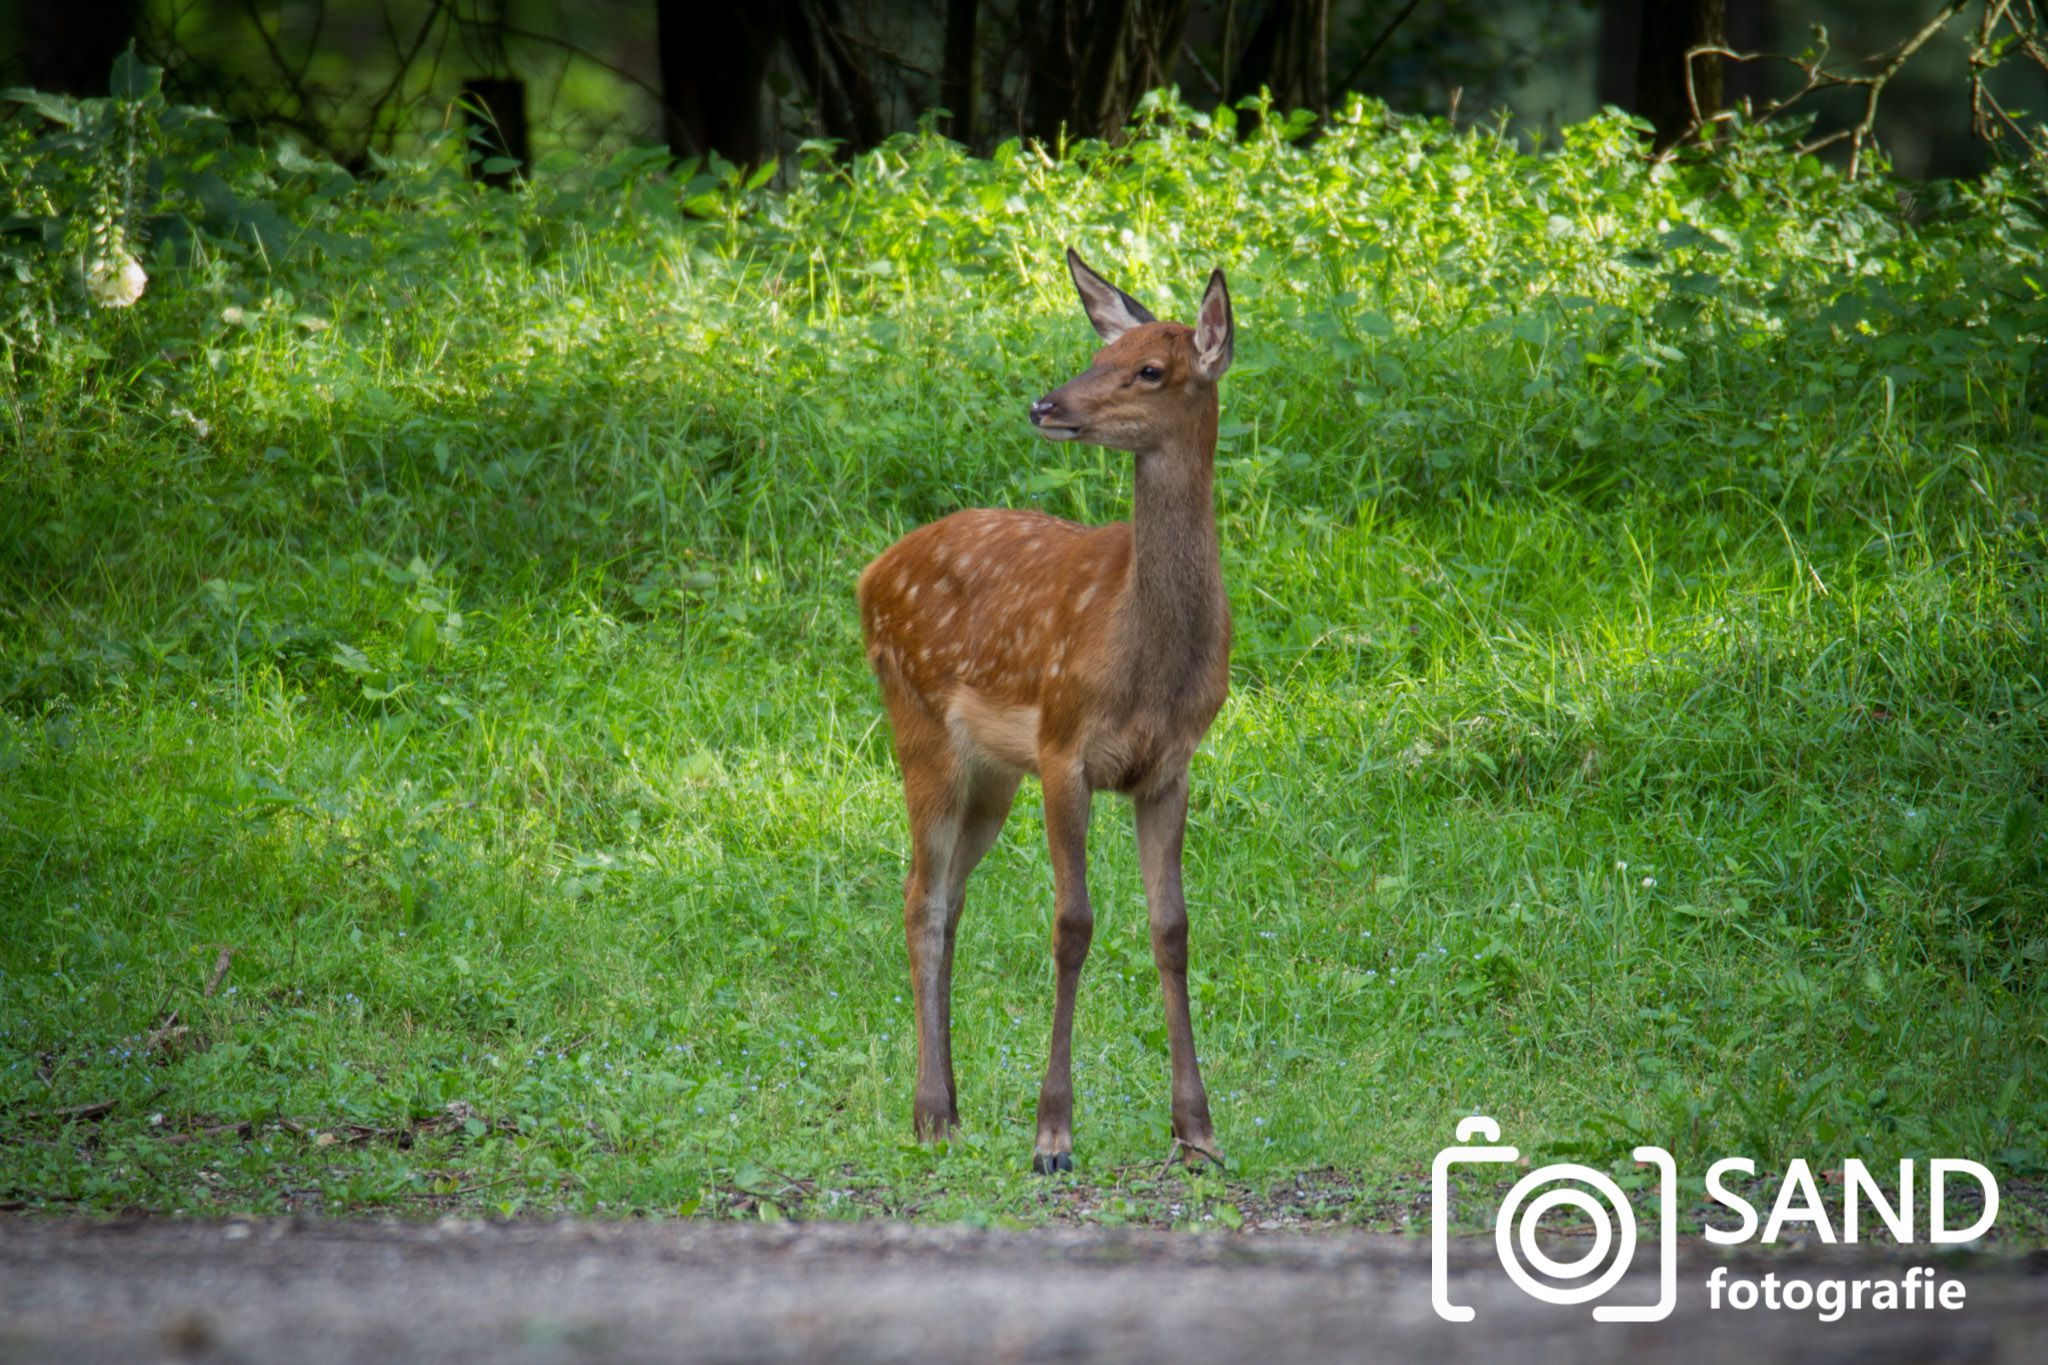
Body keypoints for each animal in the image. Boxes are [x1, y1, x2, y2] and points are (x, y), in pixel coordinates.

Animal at [860, 245, 1236, 1178]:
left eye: (1149, 368)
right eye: (1101, 351)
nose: (1044, 404)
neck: (1148, 659)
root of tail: (868, 575)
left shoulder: (1169, 766)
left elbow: (1172, 928)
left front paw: (1198, 1130)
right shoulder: (1067, 747)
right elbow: (1073, 923)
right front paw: (1053, 1133)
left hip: (993, 774)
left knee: (951, 897)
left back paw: (953, 1102)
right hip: (918, 725)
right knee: (920, 896)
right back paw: (929, 1111)